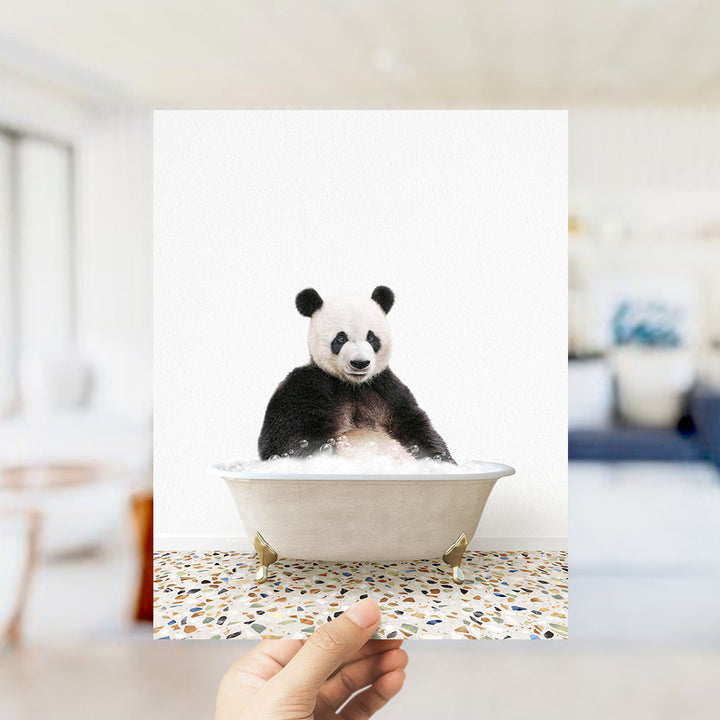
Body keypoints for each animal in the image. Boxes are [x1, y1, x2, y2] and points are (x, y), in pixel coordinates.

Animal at [258, 285, 454, 463]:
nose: (360, 363)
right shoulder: (308, 386)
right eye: (340, 338)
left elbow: (416, 428)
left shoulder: (387, 389)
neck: (352, 385)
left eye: (371, 337)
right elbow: (289, 439)